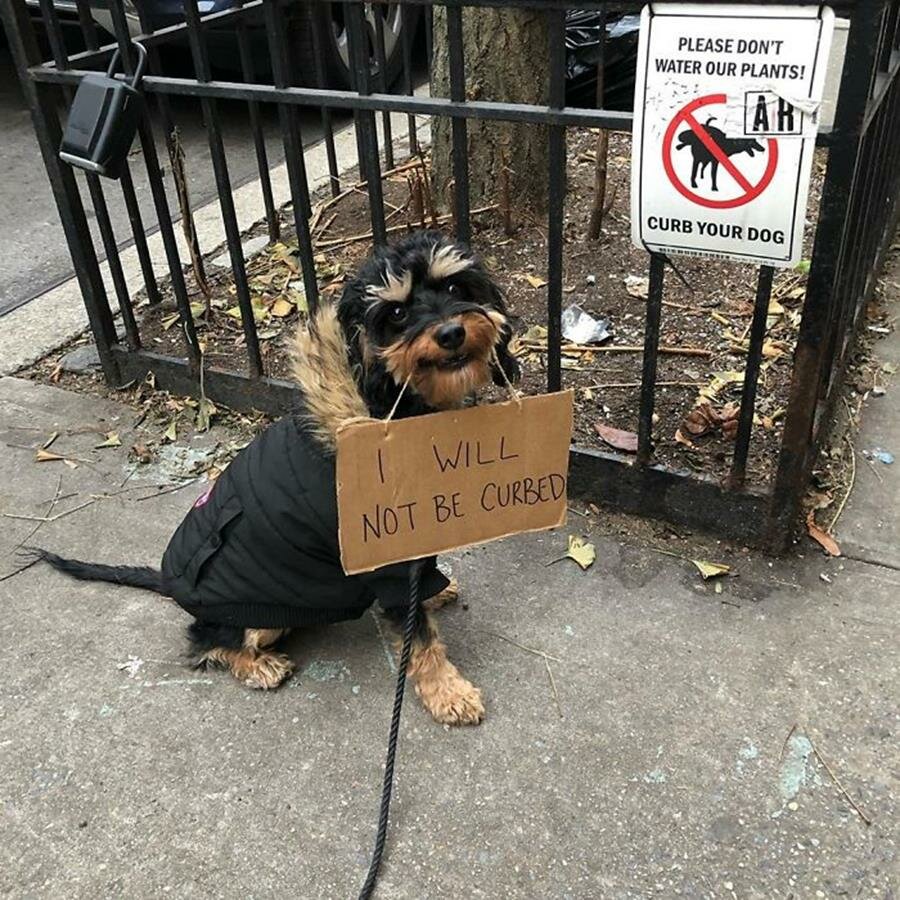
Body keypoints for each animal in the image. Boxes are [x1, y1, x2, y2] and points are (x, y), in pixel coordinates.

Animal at [35, 230, 520, 724]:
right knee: (204, 642)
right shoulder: (386, 558)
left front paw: (437, 593)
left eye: (455, 287)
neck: (388, 401)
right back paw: (257, 666)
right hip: (257, 619)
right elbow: (418, 639)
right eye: (397, 313)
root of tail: (172, 582)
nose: (451, 332)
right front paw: (448, 692)